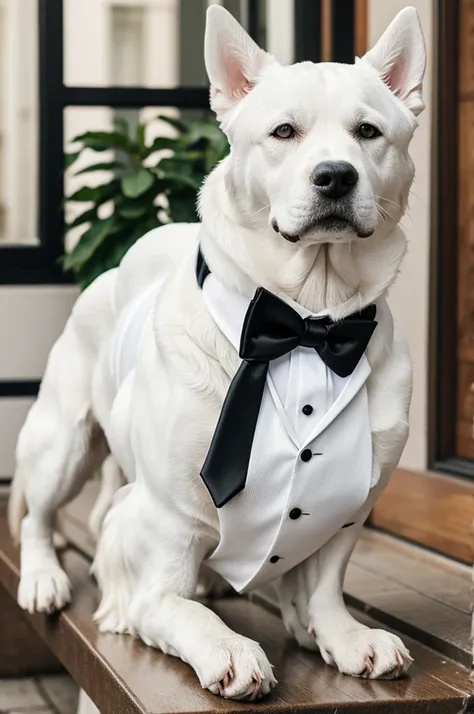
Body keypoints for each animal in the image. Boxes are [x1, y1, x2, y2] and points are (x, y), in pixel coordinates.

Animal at [9, 5, 426, 700]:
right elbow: (175, 606)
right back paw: (43, 576)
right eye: (284, 131)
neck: (306, 321)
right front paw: (226, 645)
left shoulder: (348, 509)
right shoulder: (157, 541)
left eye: (368, 131)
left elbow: (323, 586)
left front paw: (342, 633)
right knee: (37, 518)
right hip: (62, 444)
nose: (335, 176)